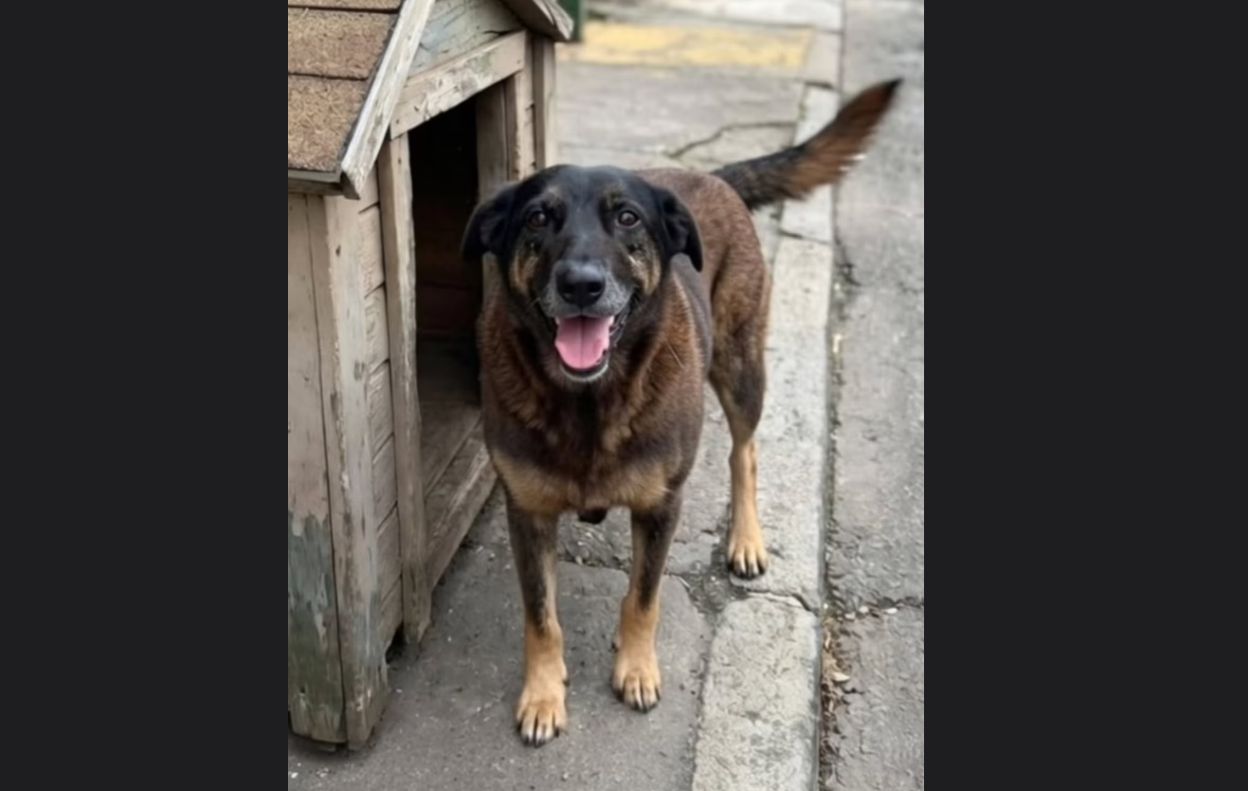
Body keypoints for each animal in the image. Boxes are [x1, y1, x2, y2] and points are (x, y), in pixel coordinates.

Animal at [461, 79, 900, 746]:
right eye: (538, 217)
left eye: (627, 217)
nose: (582, 285)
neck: (589, 401)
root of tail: (710, 178)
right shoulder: (528, 514)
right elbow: (541, 617)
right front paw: (543, 693)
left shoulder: (661, 506)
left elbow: (643, 596)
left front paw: (636, 667)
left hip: (741, 370)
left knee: (745, 450)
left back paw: (746, 539)